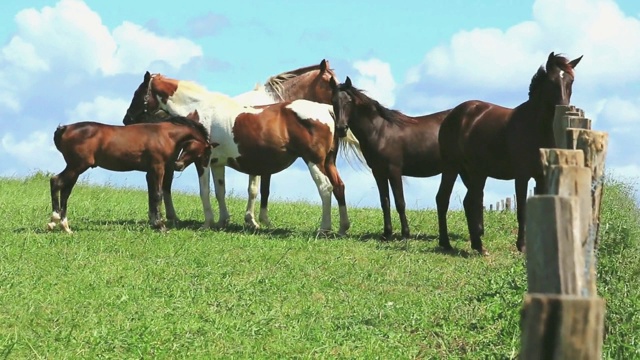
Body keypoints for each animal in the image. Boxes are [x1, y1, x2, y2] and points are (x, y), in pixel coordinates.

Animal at [46, 114, 215, 235]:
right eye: (203, 152)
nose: (178, 166)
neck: (164, 135)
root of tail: (65, 128)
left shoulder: (150, 172)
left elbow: (151, 196)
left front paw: (154, 223)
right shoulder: (157, 168)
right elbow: (157, 195)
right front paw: (161, 226)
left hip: (75, 168)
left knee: (65, 190)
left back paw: (65, 226)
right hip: (77, 166)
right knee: (56, 182)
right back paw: (54, 220)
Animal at [120, 73, 360, 235]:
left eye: (138, 93)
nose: (126, 119)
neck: (200, 110)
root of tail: (325, 110)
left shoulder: (202, 160)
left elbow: (205, 191)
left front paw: (208, 223)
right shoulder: (217, 163)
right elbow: (220, 191)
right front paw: (222, 221)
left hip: (314, 161)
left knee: (325, 188)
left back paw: (324, 228)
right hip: (328, 162)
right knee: (339, 186)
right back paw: (343, 227)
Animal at [332, 76, 452, 239]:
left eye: (349, 101)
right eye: (333, 101)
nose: (341, 129)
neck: (381, 131)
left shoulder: (394, 171)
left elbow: (400, 202)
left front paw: (405, 234)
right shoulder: (378, 172)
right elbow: (385, 202)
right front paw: (387, 233)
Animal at [438, 52, 584, 256]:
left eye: (571, 80)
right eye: (552, 80)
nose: (563, 108)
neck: (535, 128)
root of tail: (453, 115)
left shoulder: (541, 176)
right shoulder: (521, 177)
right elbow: (522, 210)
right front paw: (522, 245)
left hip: (476, 172)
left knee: (470, 202)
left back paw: (477, 245)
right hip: (452, 168)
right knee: (443, 199)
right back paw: (447, 243)